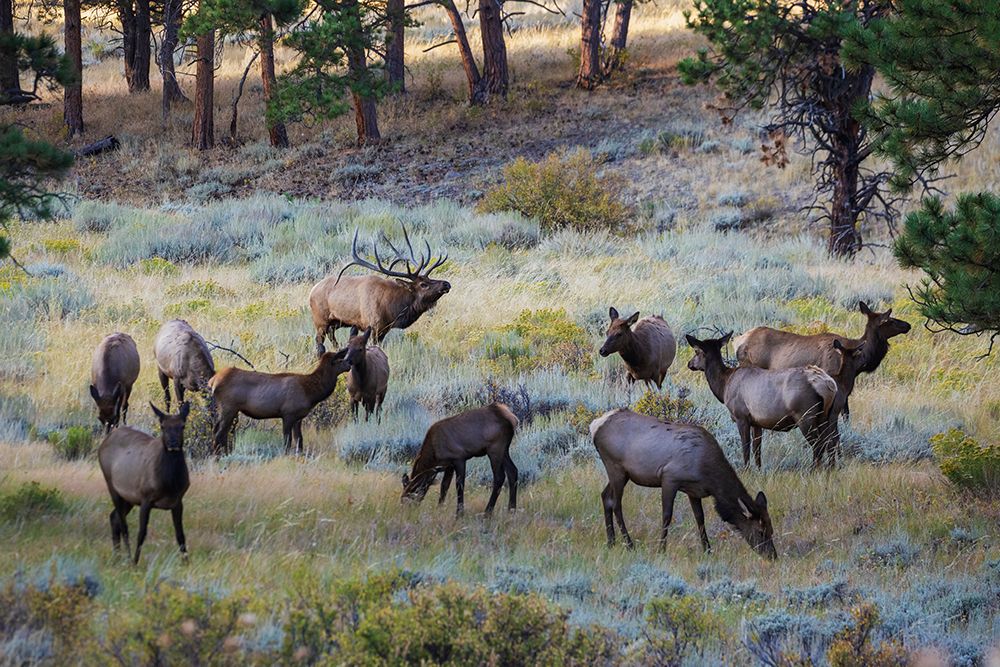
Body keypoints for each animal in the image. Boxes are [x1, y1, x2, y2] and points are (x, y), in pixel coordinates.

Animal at [97, 402, 191, 565]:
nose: (173, 443)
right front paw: (135, 562)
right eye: (162, 426)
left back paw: (117, 556)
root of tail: (105, 440)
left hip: (128, 499)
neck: (170, 484)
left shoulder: (178, 501)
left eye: (183, 425)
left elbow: (180, 535)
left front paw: (186, 562)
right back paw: (127, 558)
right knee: (123, 525)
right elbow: (142, 533)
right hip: (112, 486)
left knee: (114, 518)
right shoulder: (145, 498)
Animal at [208, 348, 357, 455]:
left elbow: (299, 440)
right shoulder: (288, 414)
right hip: (228, 407)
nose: (350, 364)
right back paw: (219, 457)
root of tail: (212, 381)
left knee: (219, 430)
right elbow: (287, 441)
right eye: (339, 360)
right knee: (219, 432)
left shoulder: (298, 417)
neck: (310, 393)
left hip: (229, 409)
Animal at [309, 223, 451, 355]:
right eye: (423, 284)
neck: (392, 308)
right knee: (319, 343)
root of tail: (312, 291)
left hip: (335, 323)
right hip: (320, 321)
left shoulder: (384, 329)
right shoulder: (373, 326)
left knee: (332, 339)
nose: (446, 284)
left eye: (429, 278)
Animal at [590, 408, 777, 559]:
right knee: (616, 504)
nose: (772, 556)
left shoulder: (694, 491)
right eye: (760, 531)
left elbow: (700, 518)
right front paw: (661, 549)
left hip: (622, 473)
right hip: (615, 467)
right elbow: (667, 515)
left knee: (605, 496)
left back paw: (611, 542)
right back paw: (628, 544)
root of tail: (595, 425)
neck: (708, 474)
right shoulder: (669, 478)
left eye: (771, 530)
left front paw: (708, 550)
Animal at [687, 333, 839, 469]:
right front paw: (759, 470)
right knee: (831, 442)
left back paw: (813, 470)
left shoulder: (741, 416)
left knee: (818, 445)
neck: (724, 387)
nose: (689, 364)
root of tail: (828, 385)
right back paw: (830, 469)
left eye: (696, 351)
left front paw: (746, 470)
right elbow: (757, 449)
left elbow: (746, 447)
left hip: (805, 415)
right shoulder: (756, 422)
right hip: (827, 416)